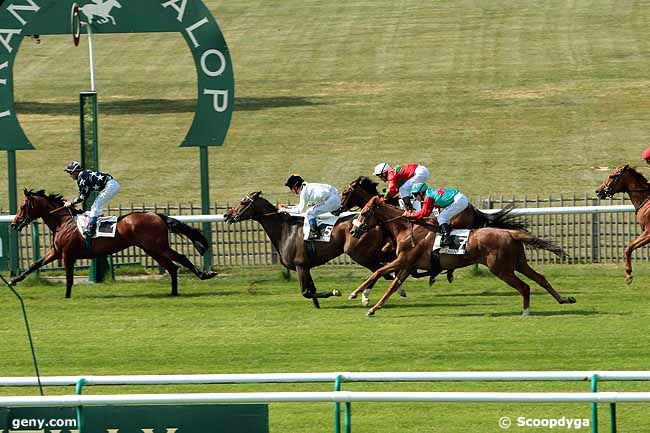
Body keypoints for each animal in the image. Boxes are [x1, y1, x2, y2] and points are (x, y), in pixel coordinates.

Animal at [10, 189, 216, 296]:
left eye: (22, 206)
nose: (14, 224)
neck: (64, 221)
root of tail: (157, 215)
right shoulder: (56, 252)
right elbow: (35, 264)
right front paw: (14, 280)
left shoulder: (68, 254)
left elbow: (69, 278)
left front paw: (67, 296)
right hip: (151, 249)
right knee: (172, 266)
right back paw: (173, 292)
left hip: (156, 246)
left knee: (180, 259)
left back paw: (204, 275)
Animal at [223, 190, 390, 308]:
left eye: (243, 202)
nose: (226, 215)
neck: (285, 230)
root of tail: (375, 222)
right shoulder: (306, 266)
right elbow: (311, 290)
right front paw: (318, 303)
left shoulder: (300, 265)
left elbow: (306, 292)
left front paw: (335, 292)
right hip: (371, 253)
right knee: (383, 269)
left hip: (358, 254)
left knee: (378, 270)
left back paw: (365, 296)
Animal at [346, 196, 576, 314]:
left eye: (364, 213)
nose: (354, 231)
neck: (407, 229)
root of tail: (510, 232)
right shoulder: (408, 265)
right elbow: (392, 285)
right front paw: (374, 307)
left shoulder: (403, 260)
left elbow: (377, 273)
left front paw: (356, 294)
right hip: (519, 263)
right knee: (540, 279)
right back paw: (564, 300)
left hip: (501, 269)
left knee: (525, 286)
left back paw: (526, 311)